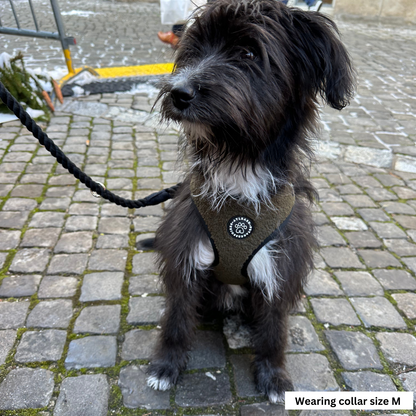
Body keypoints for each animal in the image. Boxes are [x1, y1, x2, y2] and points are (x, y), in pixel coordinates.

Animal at [146, 0, 354, 404]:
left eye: (248, 54)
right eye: (194, 49)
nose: (178, 92)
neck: (238, 171)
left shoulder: (280, 267)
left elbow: (274, 330)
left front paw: (274, 377)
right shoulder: (185, 255)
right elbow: (177, 317)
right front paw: (165, 366)